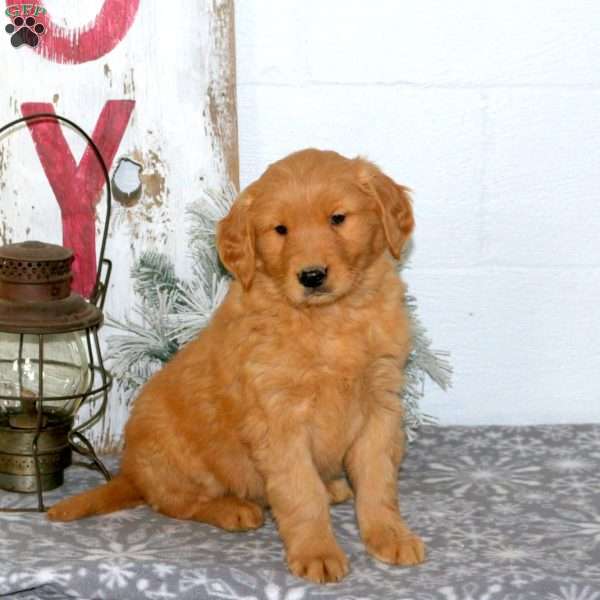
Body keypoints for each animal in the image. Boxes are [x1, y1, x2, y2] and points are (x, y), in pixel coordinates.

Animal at [49, 149, 424, 580]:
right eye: (280, 229)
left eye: (338, 218)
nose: (312, 276)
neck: (329, 319)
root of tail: (132, 473)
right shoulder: (278, 418)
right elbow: (301, 491)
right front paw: (317, 551)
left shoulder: (380, 404)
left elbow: (378, 481)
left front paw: (389, 535)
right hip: (172, 452)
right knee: (174, 502)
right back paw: (234, 509)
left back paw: (331, 486)